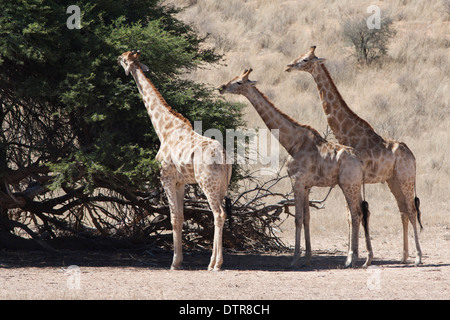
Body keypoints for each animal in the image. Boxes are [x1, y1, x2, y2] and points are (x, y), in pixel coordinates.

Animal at [118, 51, 232, 272]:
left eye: (125, 59)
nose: (118, 57)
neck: (164, 129)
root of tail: (224, 157)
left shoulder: (166, 178)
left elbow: (174, 218)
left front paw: (174, 263)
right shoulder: (181, 182)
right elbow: (181, 217)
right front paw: (179, 261)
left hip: (207, 183)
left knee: (218, 214)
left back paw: (215, 264)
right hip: (222, 185)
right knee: (220, 214)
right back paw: (213, 262)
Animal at [218, 68, 372, 268]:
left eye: (238, 82)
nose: (221, 87)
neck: (291, 142)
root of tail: (360, 161)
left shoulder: (296, 181)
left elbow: (297, 218)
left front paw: (295, 259)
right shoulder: (306, 186)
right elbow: (307, 218)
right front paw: (307, 258)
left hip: (348, 184)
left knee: (355, 214)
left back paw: (351, 260)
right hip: (356, 185)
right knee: (363, 212)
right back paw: (366, 259)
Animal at [286, 45, 424, 264]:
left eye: (306, 60)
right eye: (300, 56)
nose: (289, 66)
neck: (346, 131)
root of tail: (413, 156)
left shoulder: (353, 180)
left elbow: (355, 214)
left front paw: (355, 256)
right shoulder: (352, 180)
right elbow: (350, 215)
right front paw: (356, 255)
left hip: (406, 178)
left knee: (411, 209)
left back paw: (418, 257)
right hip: (392, 179)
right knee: (402, 210)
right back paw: (404, 257)